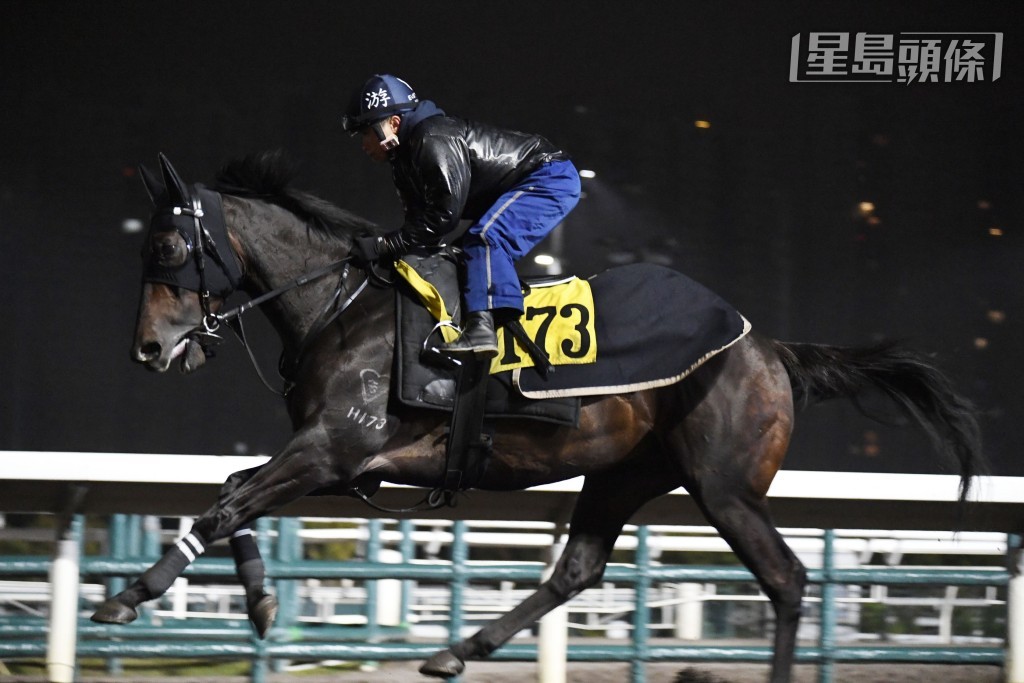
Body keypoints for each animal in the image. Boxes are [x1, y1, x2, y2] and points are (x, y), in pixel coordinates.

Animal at [96, 152, 983, 679]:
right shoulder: (345, 463)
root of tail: (770, 348)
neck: (341, 306)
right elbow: (233, 491)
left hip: (725, 485)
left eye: (166, 250)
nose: (147, 349)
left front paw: (131, 594)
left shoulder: (335, 449)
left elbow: (226, 504)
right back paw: (458, 650)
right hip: (626, 473)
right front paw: (258, 601)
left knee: (787, 577)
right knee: (577, 569)